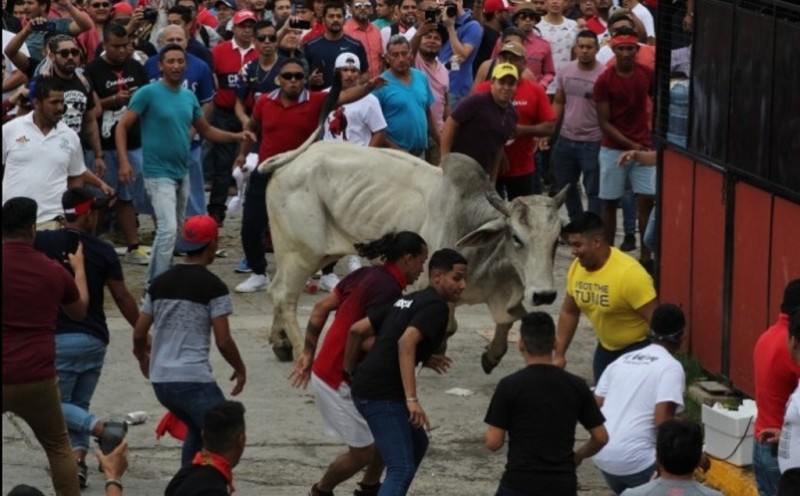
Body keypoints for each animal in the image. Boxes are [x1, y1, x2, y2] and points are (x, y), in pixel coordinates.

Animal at [260, 140, 564, 372]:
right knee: (285, 296)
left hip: (314, 252)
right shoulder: (430, 285)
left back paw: (280, 343)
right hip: (302, 252)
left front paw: (491, 356)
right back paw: (302, 353)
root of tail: (289, 160)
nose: (544, 294)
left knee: (276, 290)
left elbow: (507, 319)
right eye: (517, 238)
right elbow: (447, 325)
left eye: (556, 240)